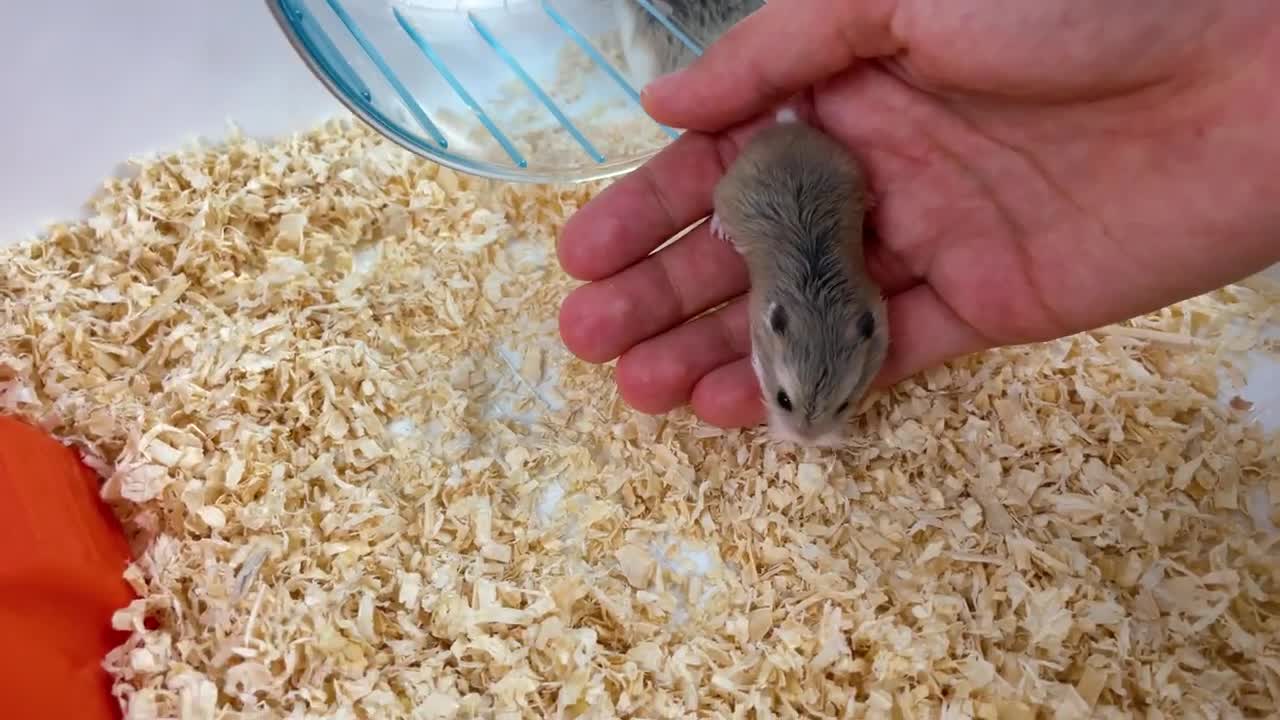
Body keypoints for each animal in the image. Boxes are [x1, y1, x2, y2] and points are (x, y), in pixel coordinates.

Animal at [711, 109, 890, 445]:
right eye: (783, 399)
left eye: (844, 405)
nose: (806, 441)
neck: (820, 312)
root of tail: (786, 126)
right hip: (727, 190)